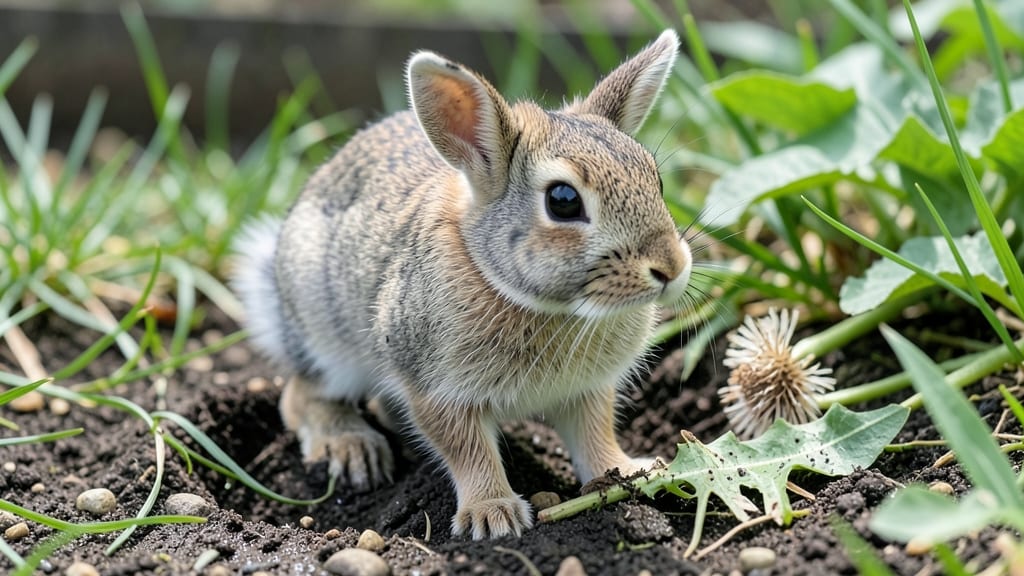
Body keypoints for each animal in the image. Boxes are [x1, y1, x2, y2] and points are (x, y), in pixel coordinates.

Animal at [232, 28, 691, 540]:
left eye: (656, 178)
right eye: (563, 201)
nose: (671, 268)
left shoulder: (588, 390)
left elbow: (595, 435)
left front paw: (630, 472)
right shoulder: (435, 387)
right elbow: (468, 450)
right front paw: (493, 515)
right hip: (326, 338)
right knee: (300, 395)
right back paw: (351, 447)